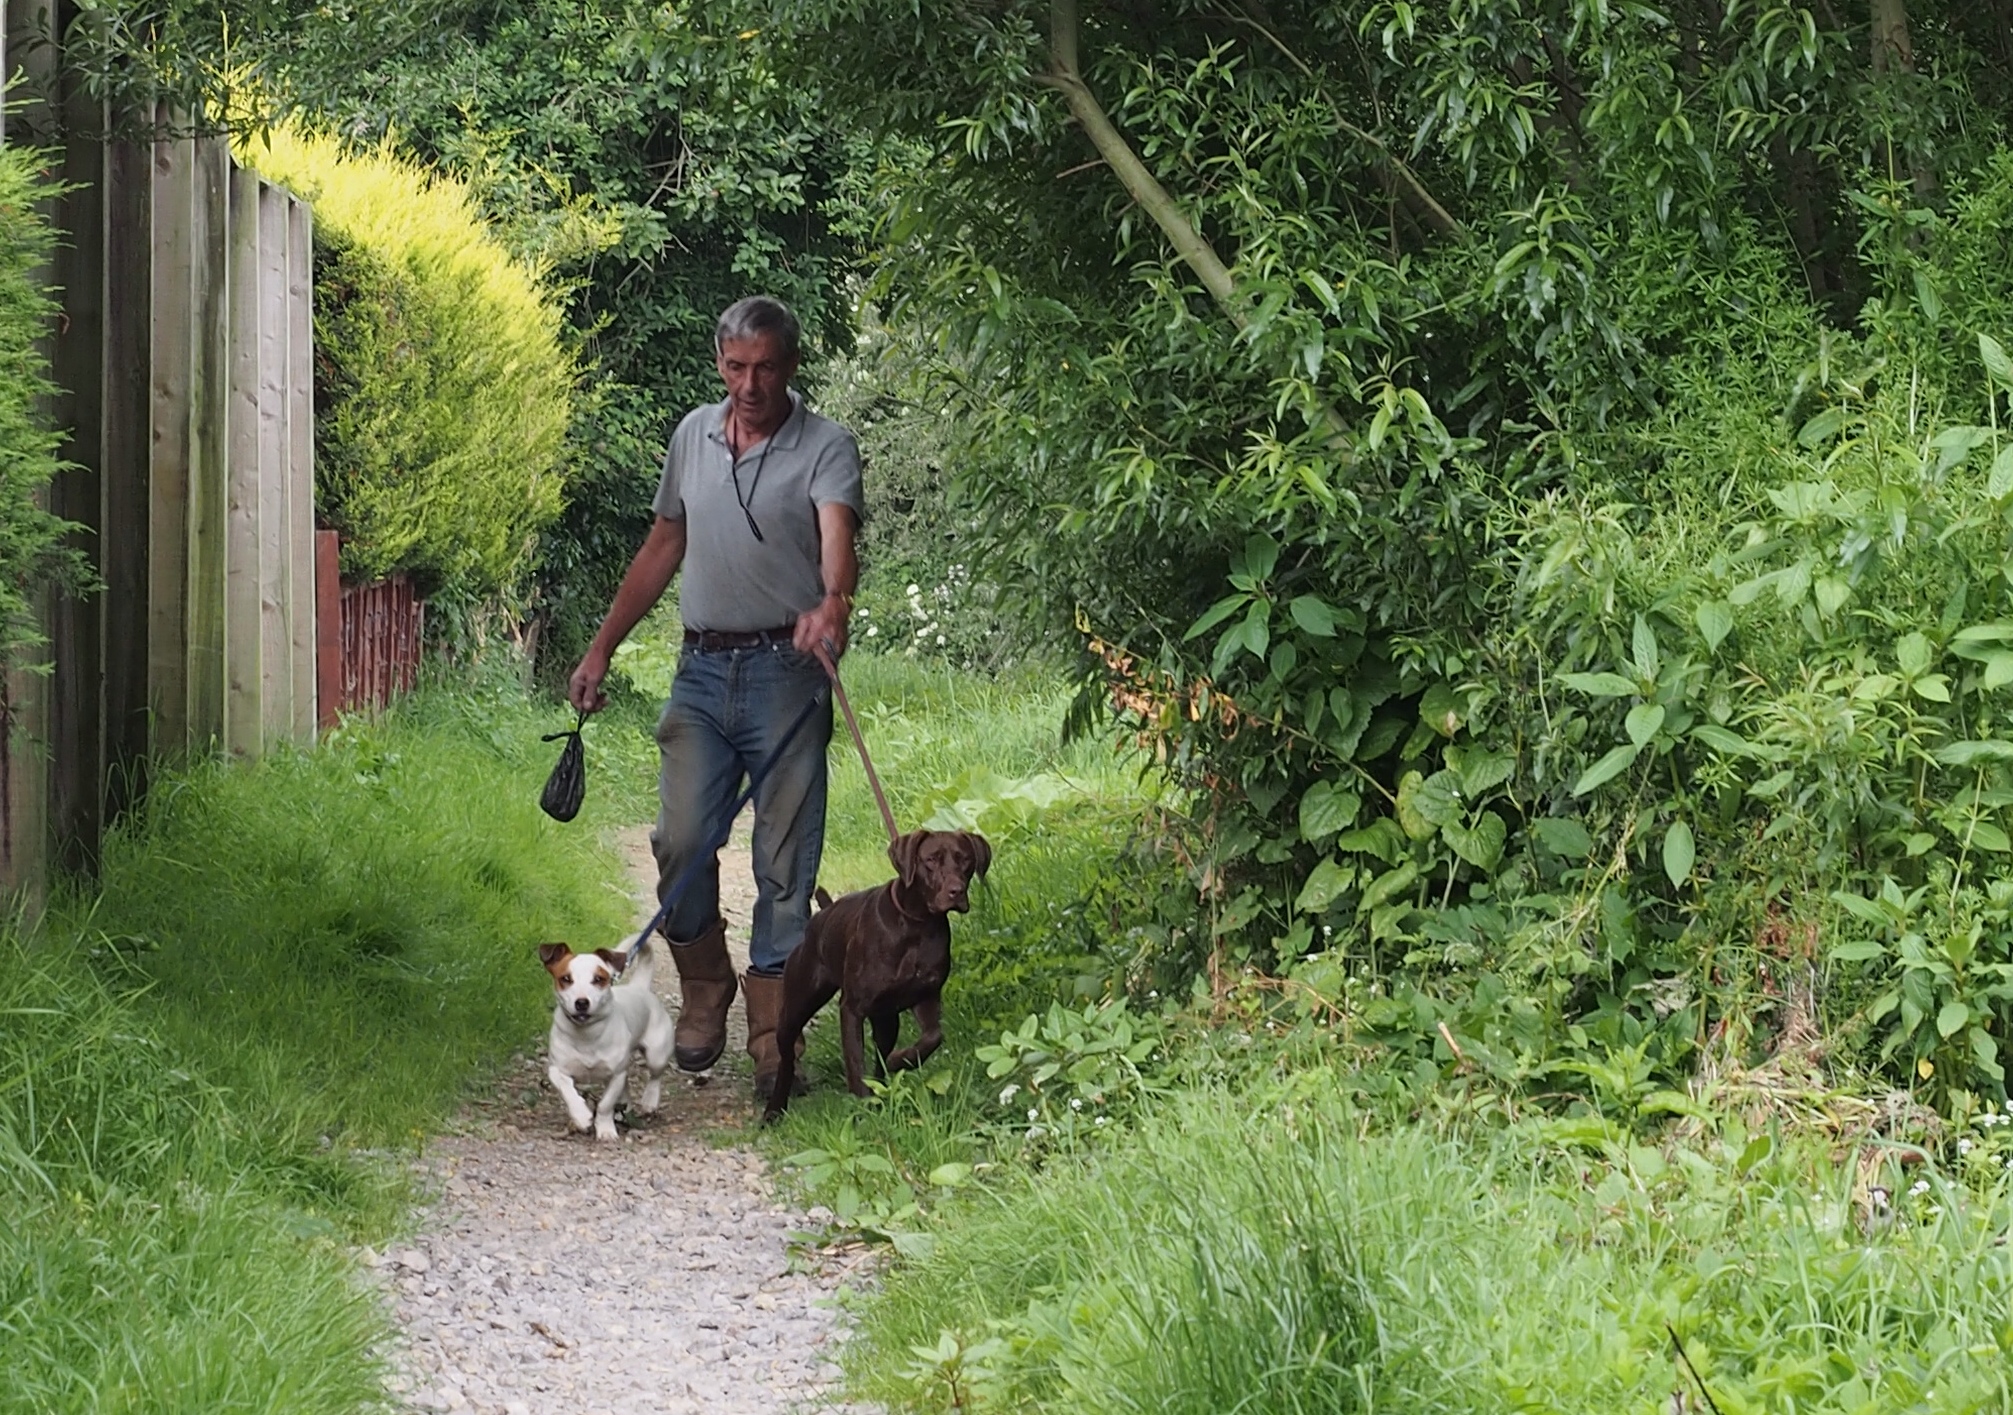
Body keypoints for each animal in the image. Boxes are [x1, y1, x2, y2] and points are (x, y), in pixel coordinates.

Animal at [539, 941, 672, 1143]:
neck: (586, 1035)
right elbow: (567, 1090)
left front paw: (606, 1130)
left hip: (656, 1054)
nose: (582, 1003)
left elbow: (605, 1105)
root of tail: (639, 986)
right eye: (566, 978)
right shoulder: (557, 1069)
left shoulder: (615, 1075)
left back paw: (649, 1100)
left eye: (598, 979)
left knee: (655, 1076)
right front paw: (581, 1116)